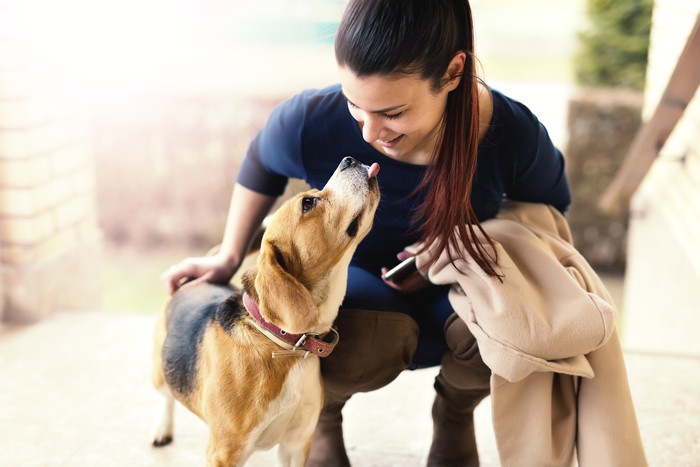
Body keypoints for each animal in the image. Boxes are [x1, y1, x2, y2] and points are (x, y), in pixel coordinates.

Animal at [151, 158, 380, 467]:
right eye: (308, 202)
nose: (350, 160)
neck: (284, 343)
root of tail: (193, 280)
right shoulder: (224, 453)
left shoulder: (297, 443)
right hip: (160, 372)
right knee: (166, 398)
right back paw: (163, 429)